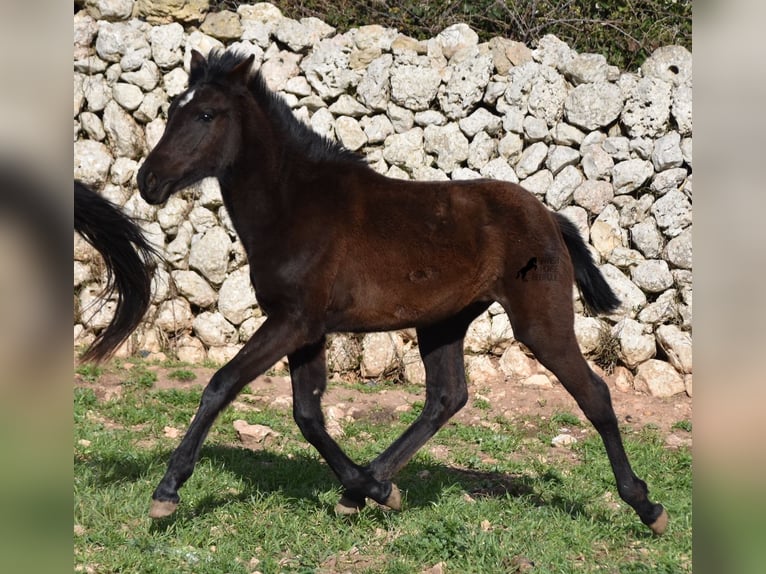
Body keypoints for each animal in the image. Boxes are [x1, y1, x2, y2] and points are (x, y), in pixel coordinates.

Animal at [136, 48, 664, 536]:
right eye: (172, 109)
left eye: (206, 115)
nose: (148, 181)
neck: (295, 206)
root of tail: (550, 218)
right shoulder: (306, 330)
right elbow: (307, 414)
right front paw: (369, 488)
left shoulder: (292, 322)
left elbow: (222, 384)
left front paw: (167, 492)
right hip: (443, 323)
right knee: (446, 398)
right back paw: (371, 485)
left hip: (541, 322)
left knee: (594, 394)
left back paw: (646, 506)